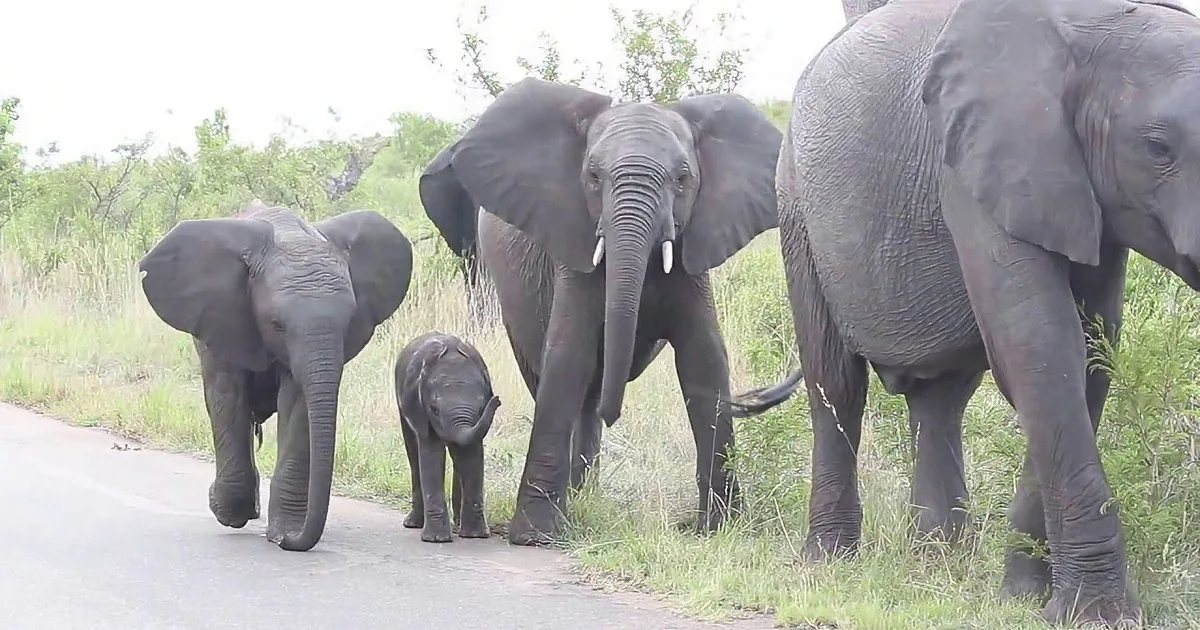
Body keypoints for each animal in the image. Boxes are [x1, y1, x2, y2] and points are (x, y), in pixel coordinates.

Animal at [138, 201, 413, 552]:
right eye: (276, 323)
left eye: (350, 321)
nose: (292, 541)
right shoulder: (221, 318)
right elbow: (226, 396)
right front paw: (229, 512)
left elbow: (297, 405)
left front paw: (283, 532)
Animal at [395, 331, 501, 543]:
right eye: (434, 410)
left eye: (482, 407)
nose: (498, 400)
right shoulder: (419, 408)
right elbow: (431, 454)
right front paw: (436, 539)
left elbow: (472, 454)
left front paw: (475, 536)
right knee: (413, 452)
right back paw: (413, 524)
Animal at [419, 77, 785, 546]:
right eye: (593, 177)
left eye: (683, 179)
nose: (617, 413)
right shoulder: (572, 250)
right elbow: (568, 355)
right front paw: (535, 536)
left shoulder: (694, 254)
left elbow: (704, 361)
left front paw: (717, 529)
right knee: (553, 377)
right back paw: (576, 494)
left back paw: (583, 491)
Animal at [738, 0, 1200, 625]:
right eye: (1158, 149)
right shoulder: (976, 163)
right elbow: (1040, 344)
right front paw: (1095, 616)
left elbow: (1088, 353)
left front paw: (1022, 596)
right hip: (797, 207)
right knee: (836, 385)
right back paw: (828, 564)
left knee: (940, 398)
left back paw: (936, 562)